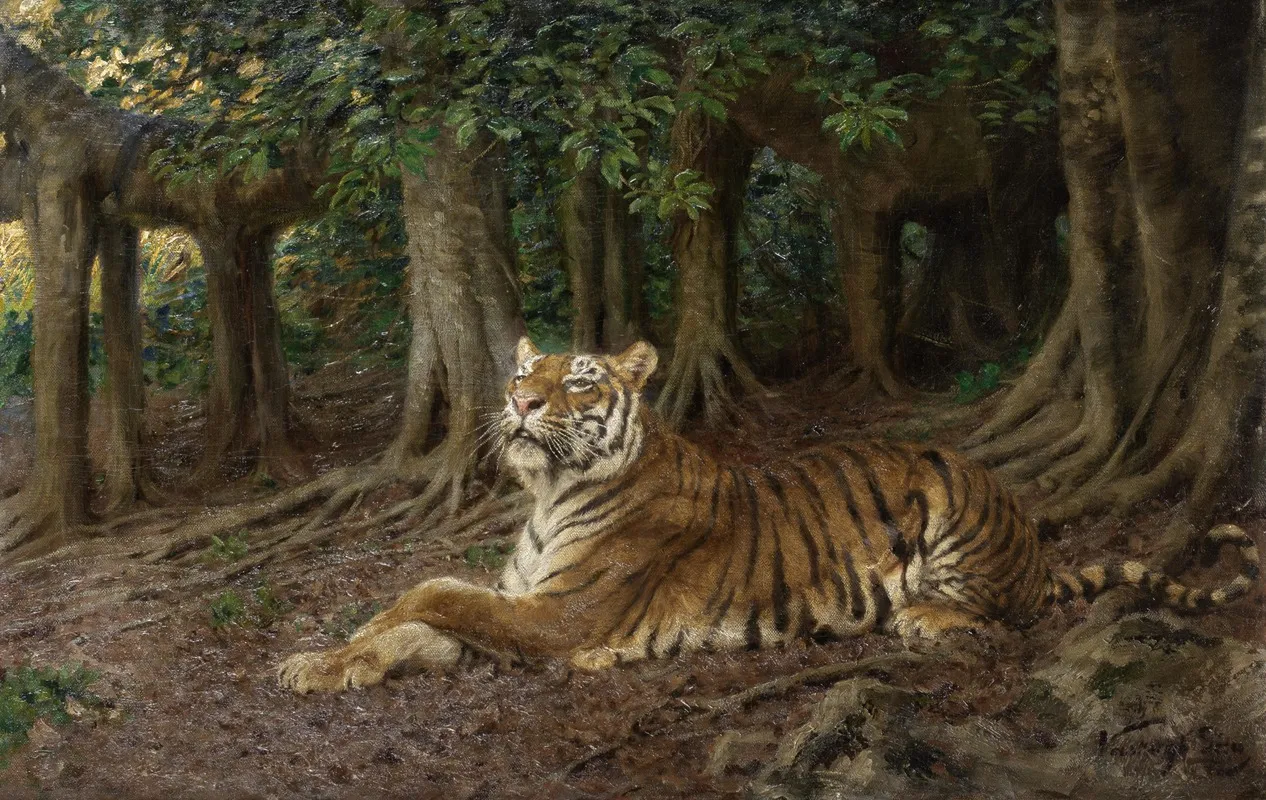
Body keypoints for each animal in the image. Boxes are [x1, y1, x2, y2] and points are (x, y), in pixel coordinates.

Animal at [277, 338, 1260, 693]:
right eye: (526, 370)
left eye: (580, 380)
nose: (520, 401)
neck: (547, 497)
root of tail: (1028, 534)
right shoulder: (517, 606)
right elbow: (421, 617)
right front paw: (323, 663)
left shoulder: (560, 617)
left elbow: (432, 593)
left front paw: (335, 652)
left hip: (948, 489)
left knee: (1000, 610)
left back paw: (923, 617)